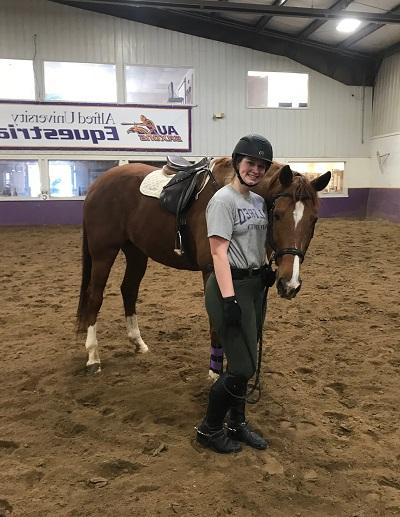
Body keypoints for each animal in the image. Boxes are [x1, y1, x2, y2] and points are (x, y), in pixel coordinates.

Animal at [77, 159, 332, 372]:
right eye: (277, 215)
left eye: (313, 219)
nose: (290, 285)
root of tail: (99, 183)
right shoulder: (213, 272)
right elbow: (217, 324)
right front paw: (215, 372)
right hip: (104, 252)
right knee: (95, 296)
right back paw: (92, 357)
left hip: (136, 252)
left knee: (129, 290)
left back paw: (138, 343)